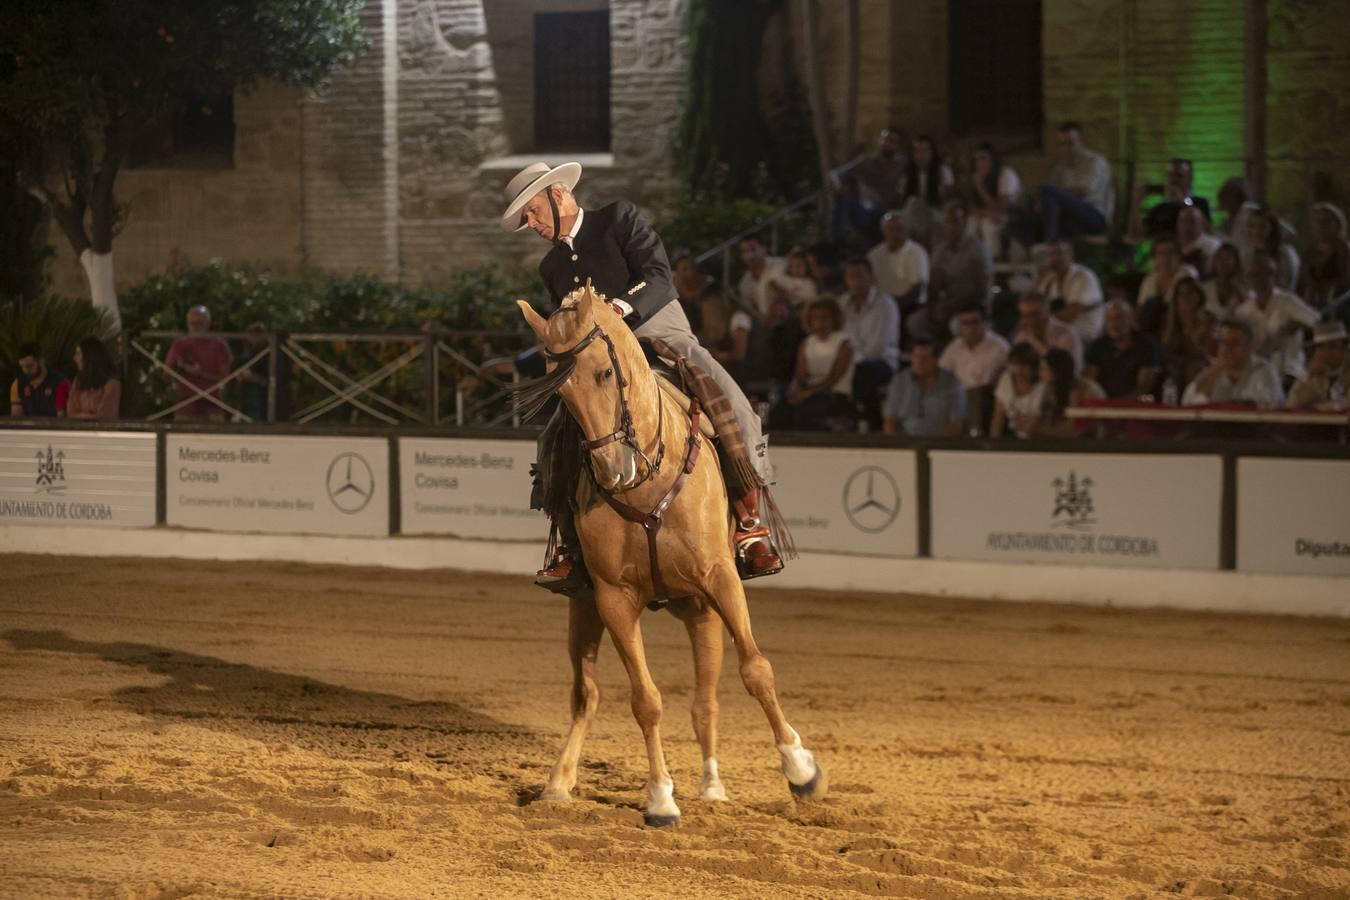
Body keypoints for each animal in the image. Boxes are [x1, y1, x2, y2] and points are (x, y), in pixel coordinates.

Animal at [513, 288, 820, 831]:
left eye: (606, 372)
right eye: (560, 392)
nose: (612, 470)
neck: (648, 478)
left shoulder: (721, 580)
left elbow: (757, 671)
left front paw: (800, 769)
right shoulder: (613, 599)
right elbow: (645, 701)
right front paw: (659, 798)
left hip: (703, 610)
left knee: (706, 701)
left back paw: (713, 787)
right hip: (587, 609)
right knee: (587, 696)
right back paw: (558, 783)